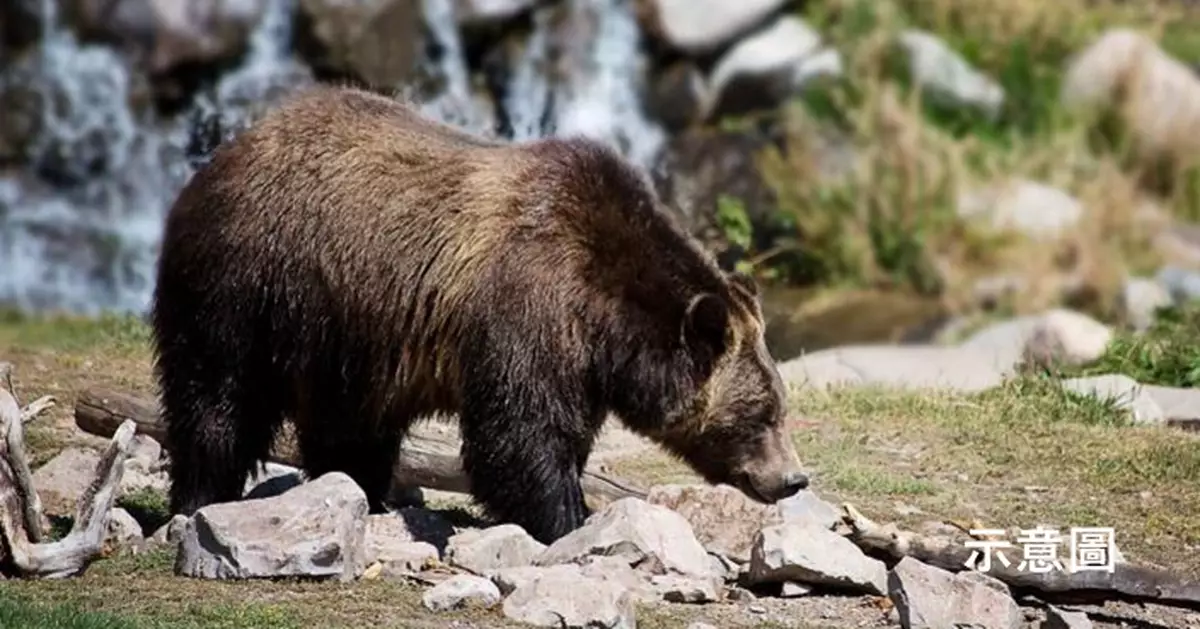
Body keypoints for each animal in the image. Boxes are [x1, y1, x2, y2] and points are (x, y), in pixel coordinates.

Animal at [147, 83, 806, 544]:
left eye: (779, 406)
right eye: (763, 414)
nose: (793, 479)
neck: (606, 319)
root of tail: (225, 152)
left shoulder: (579, 361)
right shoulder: (529, 306)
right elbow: (520, 434)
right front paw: (567, 519)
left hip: (345, 330)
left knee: (349, 423)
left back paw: (363, 492)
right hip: (250, 283)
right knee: (219, 395)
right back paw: (201, 495)